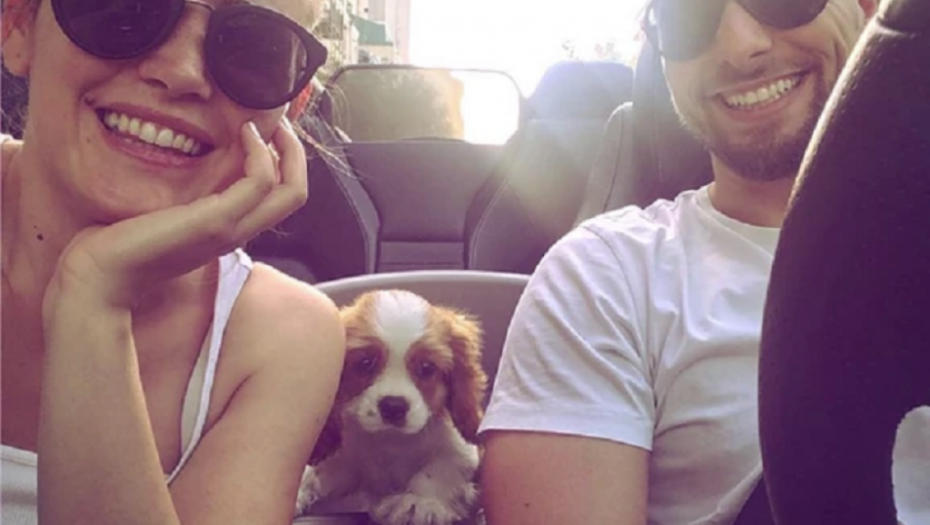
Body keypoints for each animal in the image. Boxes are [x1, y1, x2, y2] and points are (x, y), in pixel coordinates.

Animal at [295, 289, 488, 525]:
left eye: (427, 367)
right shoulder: (345, 459)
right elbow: (315, 472)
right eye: (366, 363)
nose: (394, 406)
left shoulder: (461, 451)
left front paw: (417, 502)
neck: (392, 439)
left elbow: (439, 471)